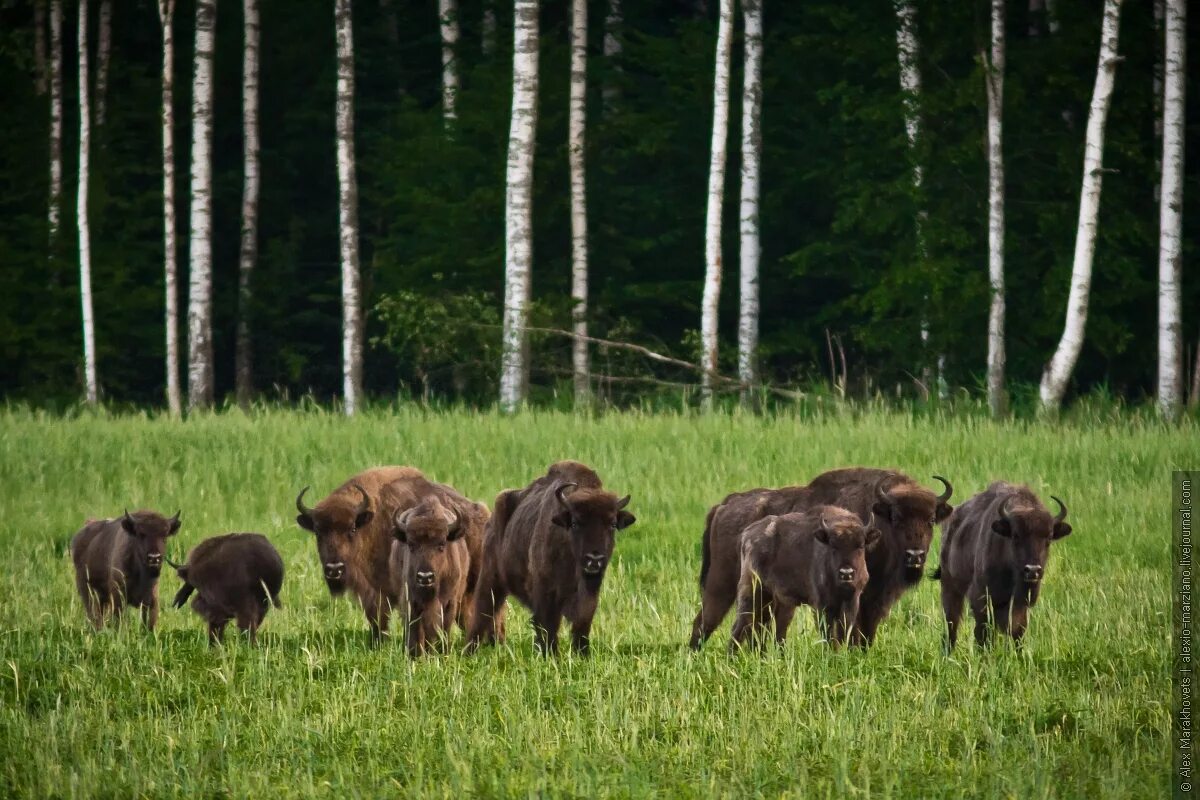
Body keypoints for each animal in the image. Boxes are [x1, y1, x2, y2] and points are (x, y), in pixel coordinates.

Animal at [391, 496, 470, 662]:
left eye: (441, 545)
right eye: (411, 545)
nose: (425, 577)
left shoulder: (450, 602)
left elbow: (444, 630)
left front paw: (443, 655)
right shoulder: (412, 602)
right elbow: (415, 631)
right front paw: (416, 657)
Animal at [465, 462, 638, 657]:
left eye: (613, 524)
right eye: (575, 523)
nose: (594, 558)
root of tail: (491, 519)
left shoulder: (590, 592)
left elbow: (582, 622)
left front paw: (582, 654)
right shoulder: (545, 592)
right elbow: (548, 626)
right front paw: (551, 655)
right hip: (490, 580)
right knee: (482, 613)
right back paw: (469, 651)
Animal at [720, 510, 883, 652]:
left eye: (860, 546)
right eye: (833, 546)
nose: (846, 573)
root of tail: (746, 535)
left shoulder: (852, 600)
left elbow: (848, 629)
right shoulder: (822, 606)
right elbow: (829, 634)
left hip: (773, 601)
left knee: (765, 629)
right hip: (752, 593)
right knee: (740, 626)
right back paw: (731, 659)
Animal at [931, 482, 1075, 652]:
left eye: (1049, 537)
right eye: (1015, 535)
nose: (1033, 570)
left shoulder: (1020, 605)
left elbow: (1017, 631)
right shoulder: (982, 599)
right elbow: (984, 633)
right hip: (950, 587)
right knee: (952, 625)